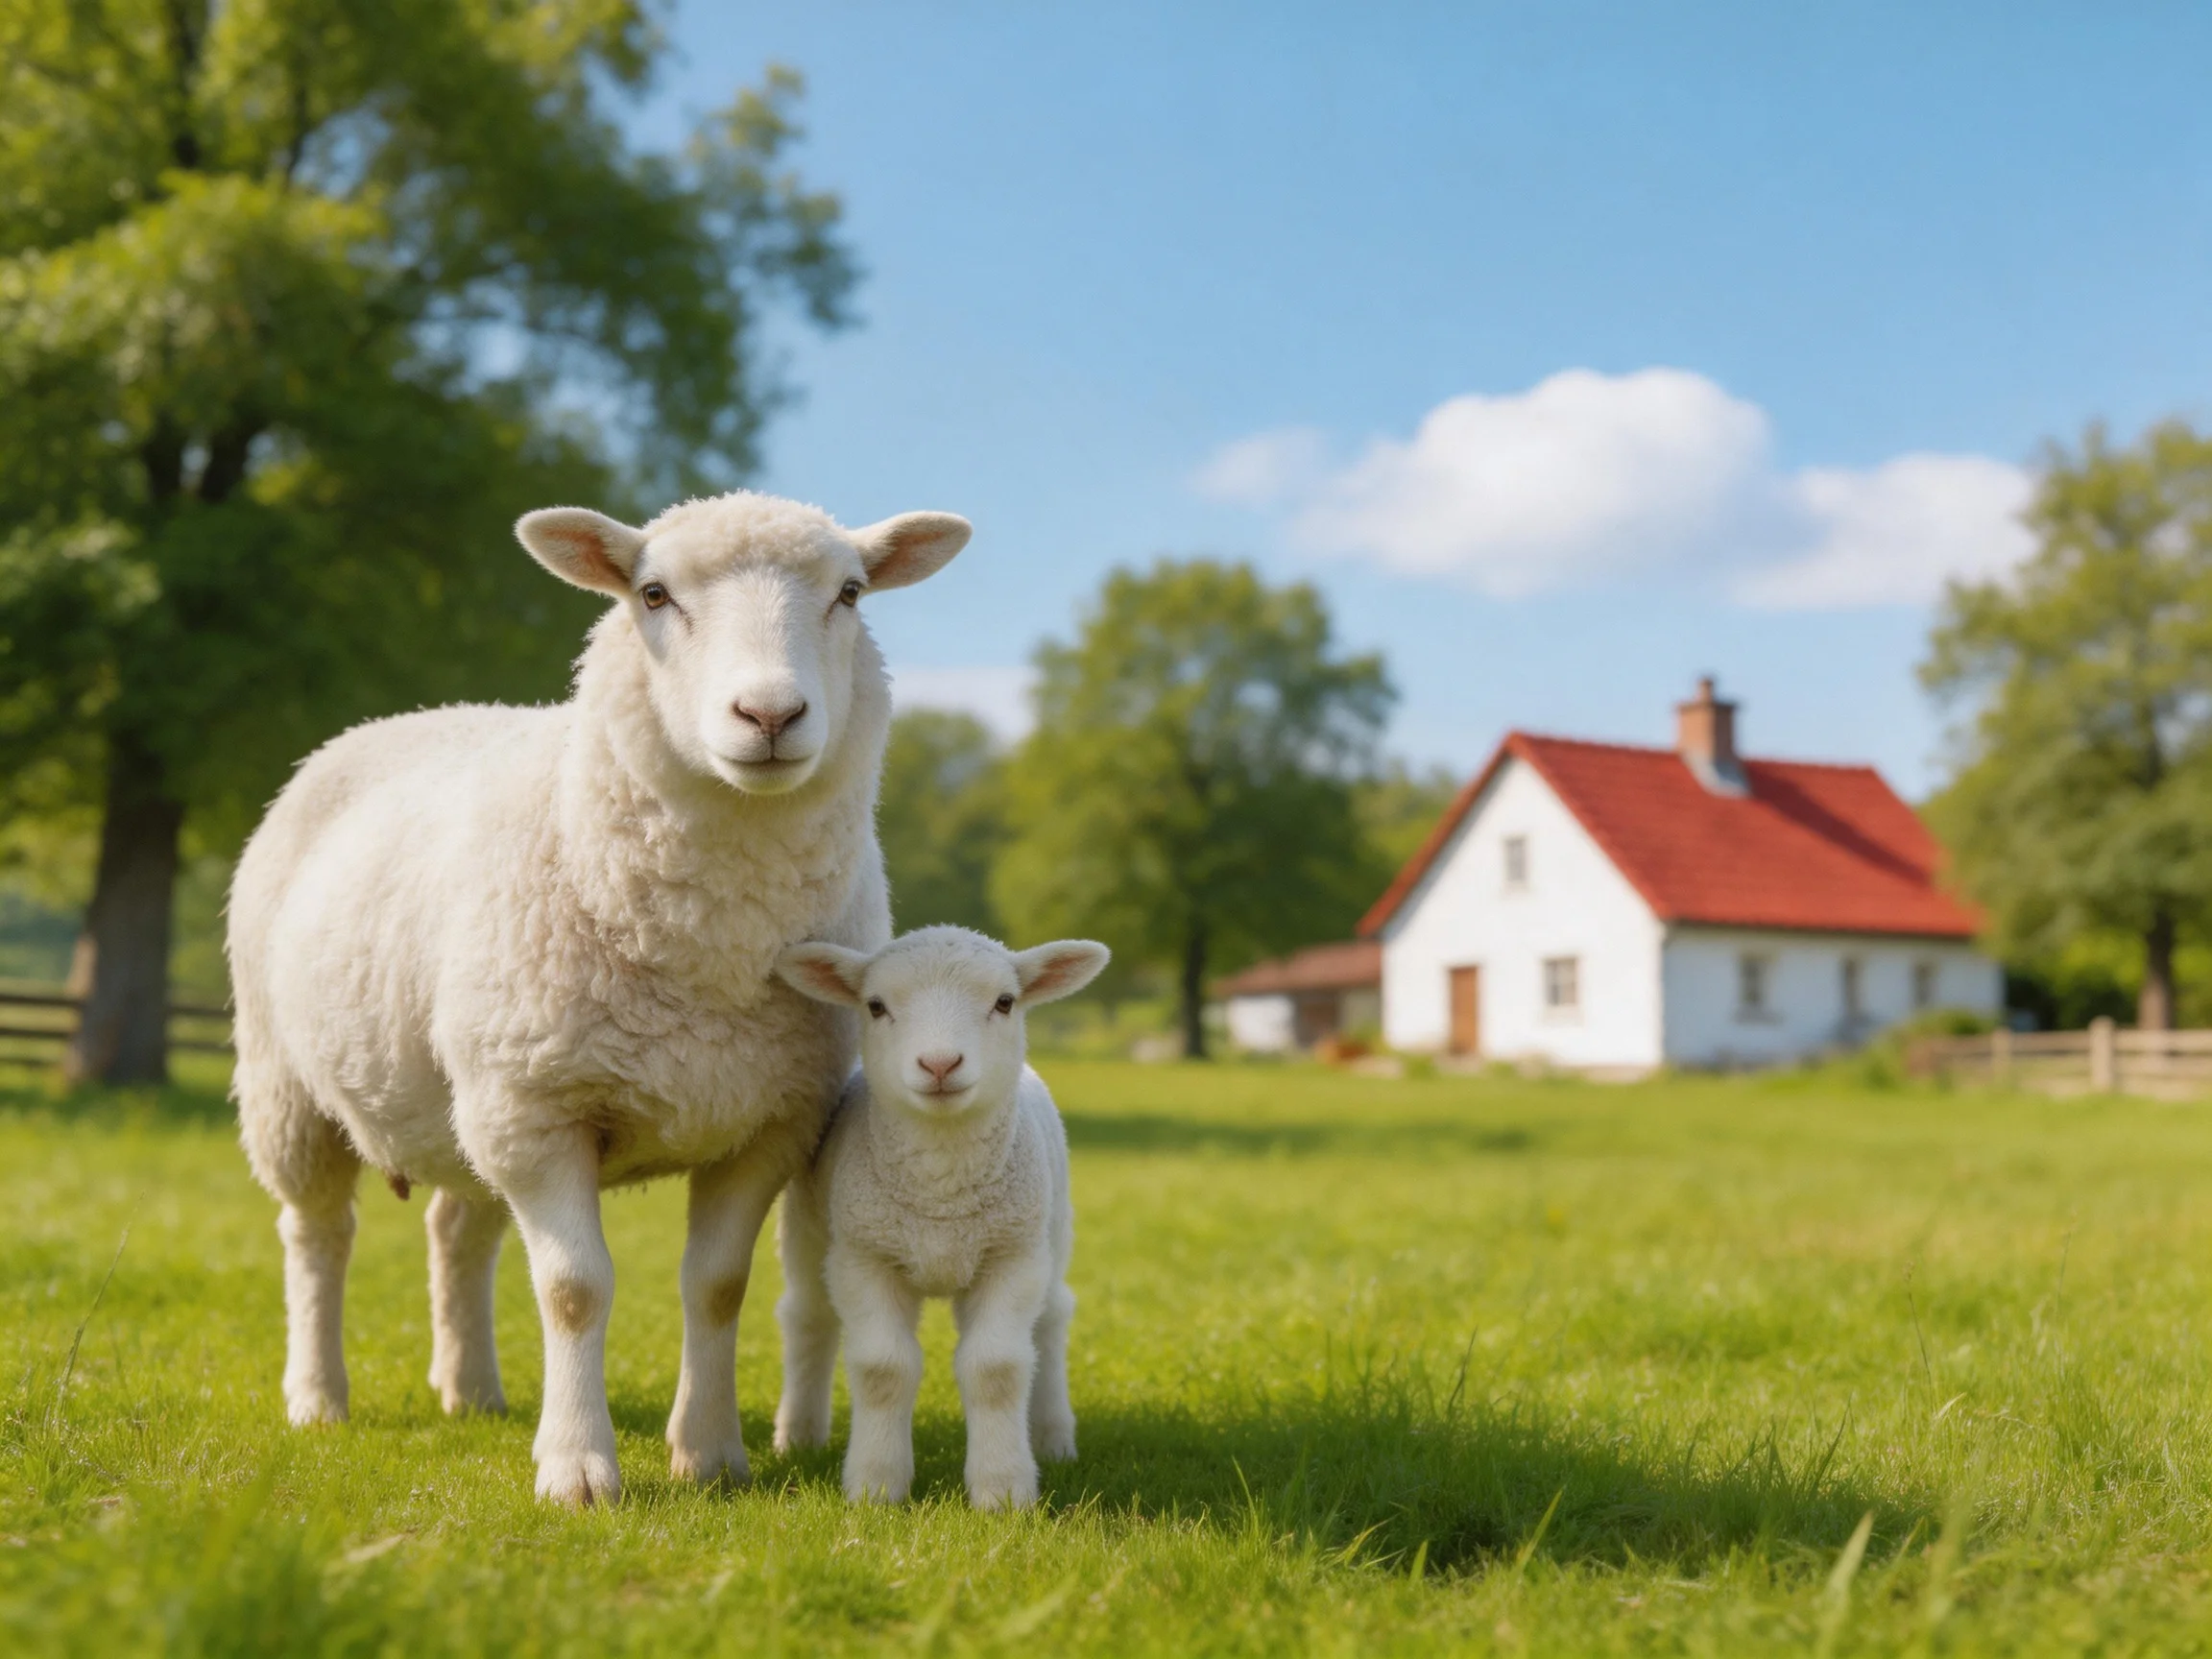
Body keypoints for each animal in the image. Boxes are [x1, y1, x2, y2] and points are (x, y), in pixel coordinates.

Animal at [226, 490, 970, 1506]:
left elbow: (717, 1286)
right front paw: (578, 1468)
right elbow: (575, 1289)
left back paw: (472, 1390)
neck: (709, 947)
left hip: (469, 1098)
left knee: (456, 1230)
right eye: (653, 594)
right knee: (316, 1233)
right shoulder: (539, 1113)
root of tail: (401, 717)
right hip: (292, 1086)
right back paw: (317, 1397)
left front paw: (710, 1453)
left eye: (851, 593)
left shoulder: (769, 1119)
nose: (769, 713)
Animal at [768, 926, 1110, 1510]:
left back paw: (1052, 1436)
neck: (940, 1195)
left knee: (1049, 1321)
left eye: (1005, 1002)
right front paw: (877, 1485)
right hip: (809, 1231)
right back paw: (799, 1436)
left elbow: (996, 1368)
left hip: (1051, 1229)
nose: (940, 1065)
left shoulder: (1010, 1255)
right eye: (875, 1005)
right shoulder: (865, 1256)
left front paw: (1003, 1490)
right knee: (809, 1317)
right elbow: (883, 1367)